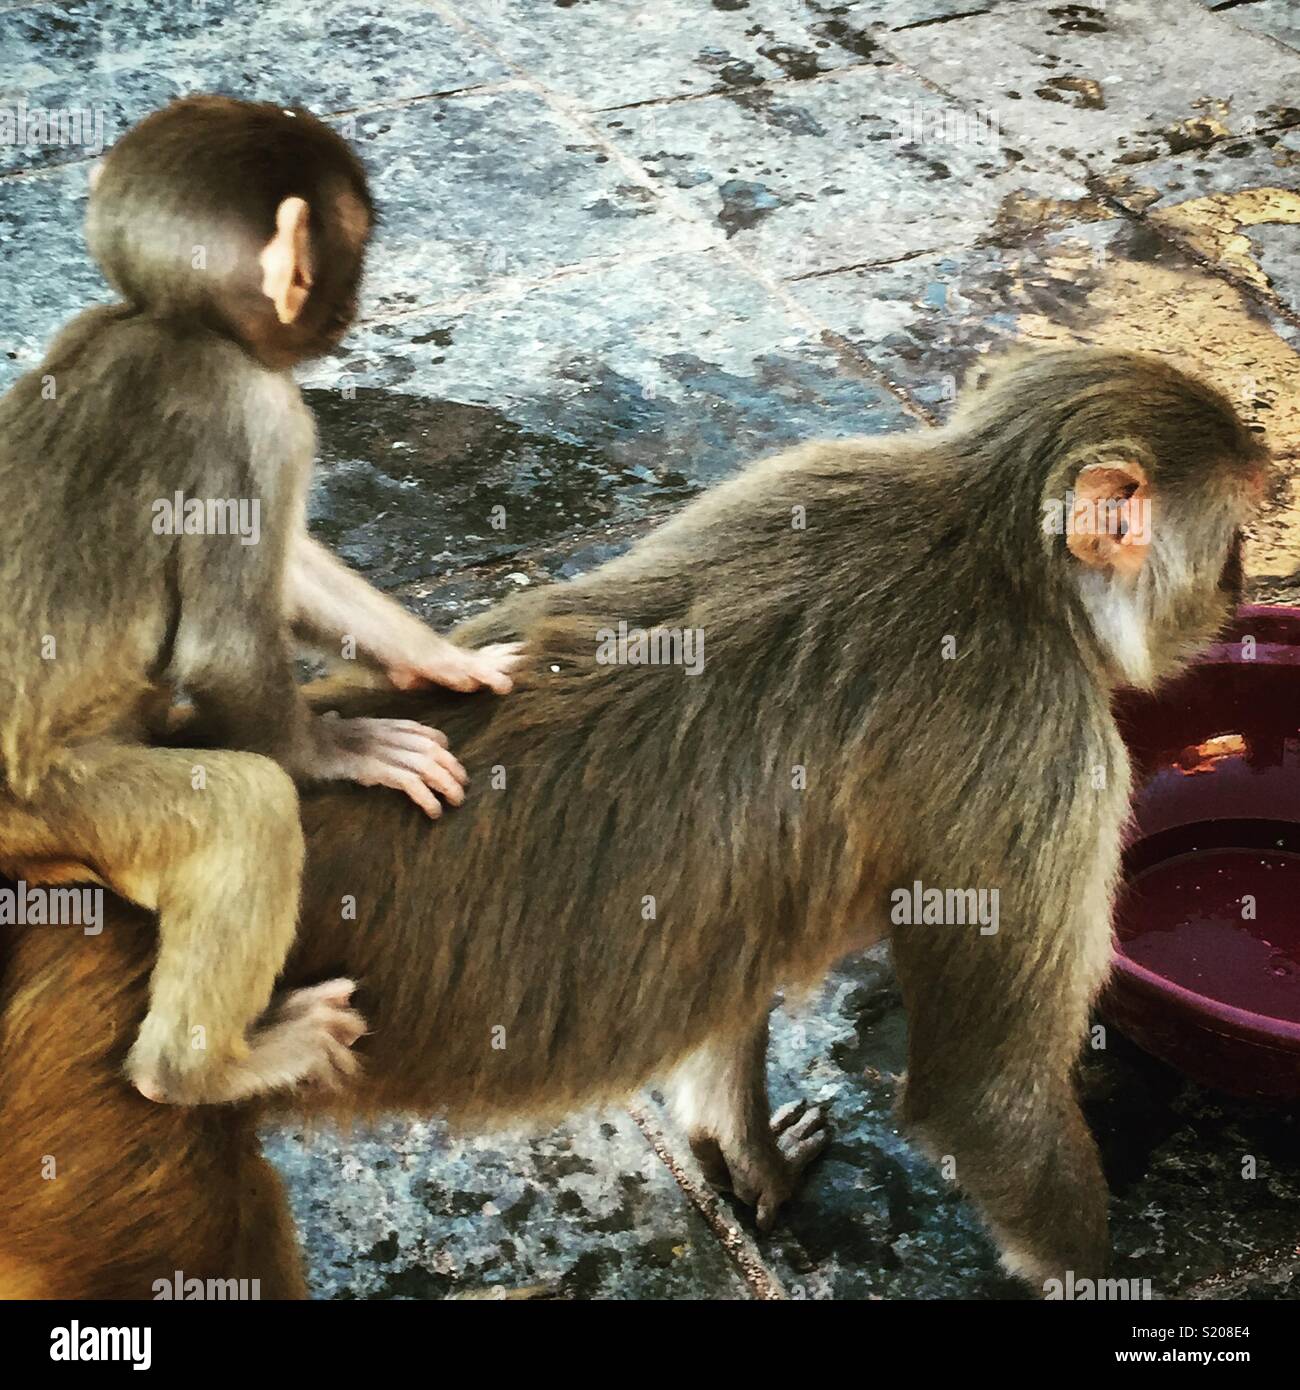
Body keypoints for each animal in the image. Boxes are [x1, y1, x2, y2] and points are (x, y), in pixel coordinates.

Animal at [0, 96, 524, 1109]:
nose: (352, 302)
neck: (171, 322)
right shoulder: (258, 413)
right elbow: (225, 647)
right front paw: (340, 752)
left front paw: (437, 657)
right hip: (56, 801)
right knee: (246, 802)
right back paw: (199, 1071)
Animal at [0, 348, 1269, 1296]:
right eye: (1237, 532)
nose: (1239, 589)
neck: (990, 535)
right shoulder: (1046, 742)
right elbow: (986, 1096)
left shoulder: (802, 472)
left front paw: (745, 1161)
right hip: (113, 1128)